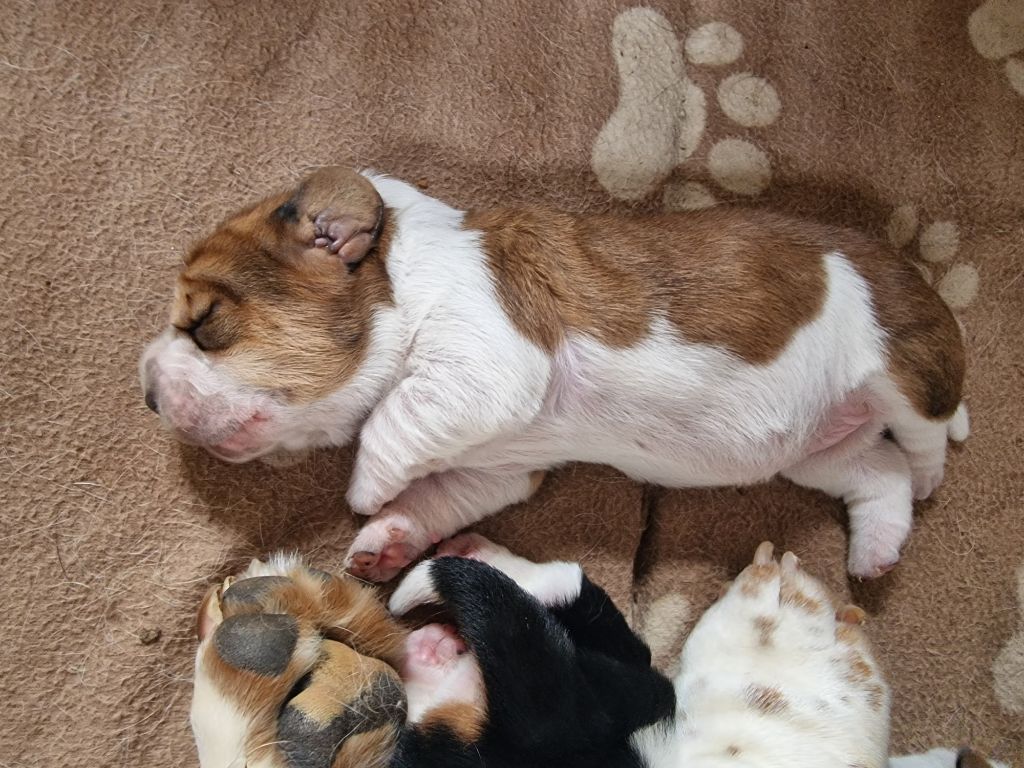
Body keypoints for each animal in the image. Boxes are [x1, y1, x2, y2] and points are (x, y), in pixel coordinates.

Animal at [141, 167, 967, 580]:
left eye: (204, 325)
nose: (147, 389)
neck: (404, 283)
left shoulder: (481, 366)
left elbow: (389, 419)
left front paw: (366, 491)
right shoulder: (501, 467)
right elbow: (438, 493)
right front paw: (389, 538)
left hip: (905, 363)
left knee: (925, 437)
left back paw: (933, 472)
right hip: (818, 455)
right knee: (879, 473)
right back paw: (875, 552)